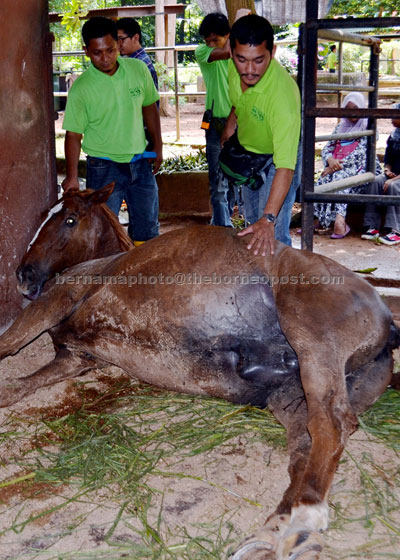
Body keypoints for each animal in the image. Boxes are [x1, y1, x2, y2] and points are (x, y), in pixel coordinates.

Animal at [0, 187, 400, 560]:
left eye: (69, 219)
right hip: (290, 396)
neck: (107, 263)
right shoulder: (76, 357)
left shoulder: (56, 300)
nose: (23, 275)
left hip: (312, 340)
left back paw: (303, 521)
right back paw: (277, 536)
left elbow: (7, 344)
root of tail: (388, 322)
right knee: (307, 444)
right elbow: (16, 388)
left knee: (331, 423)